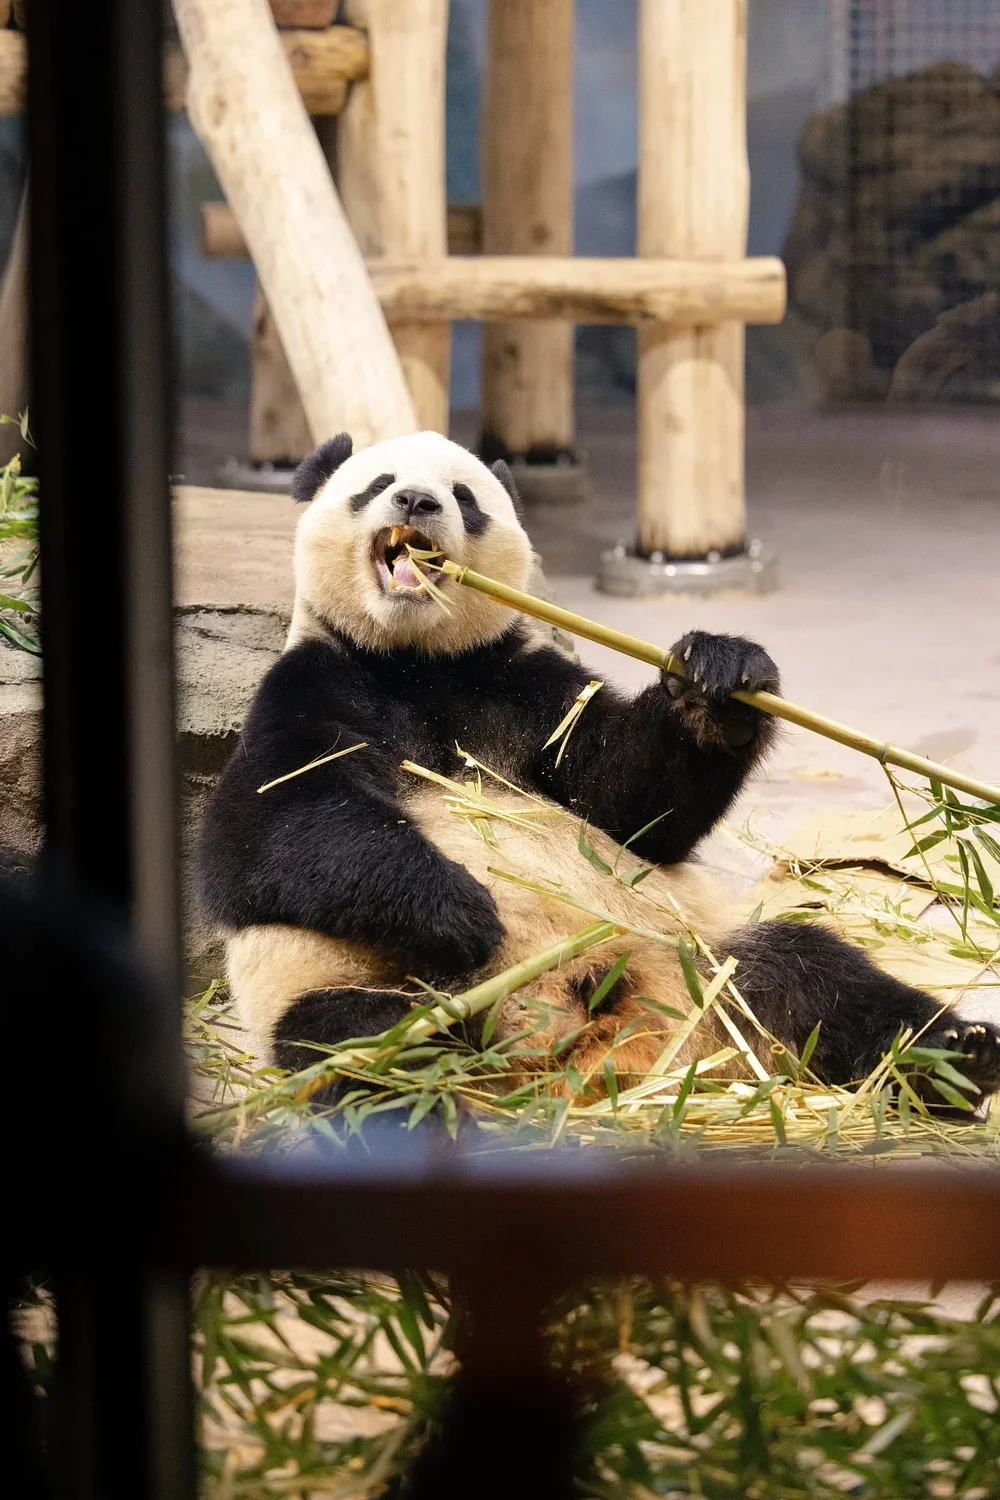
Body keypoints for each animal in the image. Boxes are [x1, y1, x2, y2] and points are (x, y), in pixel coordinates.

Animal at [199, 429, 1000, 1107]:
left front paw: (717, 679)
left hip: (703, 963)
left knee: (815, 978)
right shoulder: (314, 684)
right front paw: (461, 909)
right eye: (379, 484)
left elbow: (630, 805)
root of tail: (603, 1061)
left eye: (463, 496)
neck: (418, 663)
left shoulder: (524, 688)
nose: (418, 502)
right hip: (359, 988)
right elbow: (271, 832)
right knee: (368, 1050)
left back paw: (960, 1057)